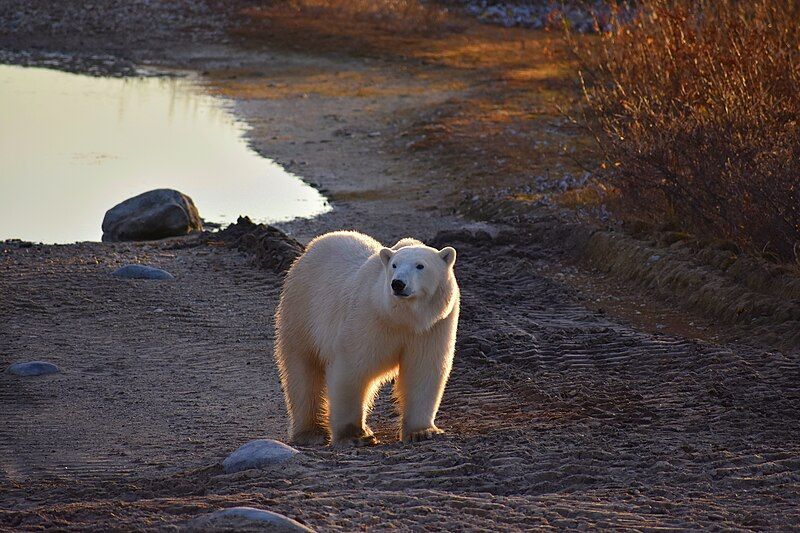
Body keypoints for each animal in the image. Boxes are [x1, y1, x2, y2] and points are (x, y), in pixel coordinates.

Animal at [276, 231, 460, 442]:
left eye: (420, 265)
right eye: (394, 265)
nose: (398, 284)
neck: (402, 318)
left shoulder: (432, 328)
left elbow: (423, 370)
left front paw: (422, 431)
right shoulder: (367, 318)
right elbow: (352, 369)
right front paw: (355, 436)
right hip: (302, 310)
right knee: (303, 369)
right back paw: (310, 433)